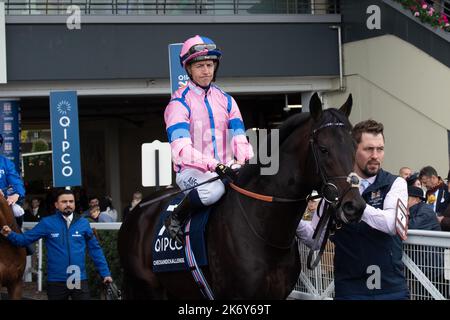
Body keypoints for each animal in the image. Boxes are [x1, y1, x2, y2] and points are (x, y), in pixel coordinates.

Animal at [118, 93, 366, 300]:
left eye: (355, 146)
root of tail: (135, 213)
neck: (263, 229)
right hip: (147, 289)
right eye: (324, 149)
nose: (354, 206)